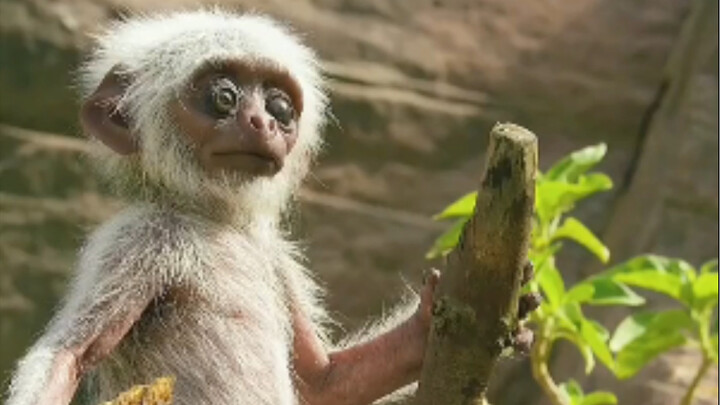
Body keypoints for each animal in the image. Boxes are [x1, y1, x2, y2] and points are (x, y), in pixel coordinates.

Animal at [5, 9, 540, 405]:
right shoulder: (136, 240)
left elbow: (323, 381)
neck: (214, 222)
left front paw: (433, 318)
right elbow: (69, 354)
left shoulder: (276, 255)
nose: (262, 121)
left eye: (281, 107)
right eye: (223, 97)